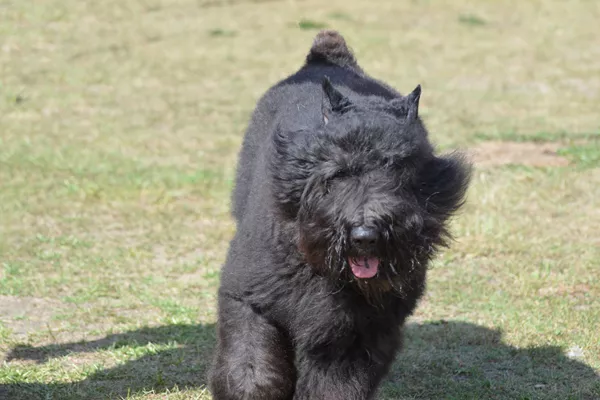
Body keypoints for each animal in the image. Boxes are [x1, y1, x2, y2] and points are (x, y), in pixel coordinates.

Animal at [209, 31, 472, 400]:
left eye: (400, 170)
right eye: (338, 172)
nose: (365, 236)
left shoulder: (353, 335)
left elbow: (334, 386)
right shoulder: (249, 300)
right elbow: (252, 373)